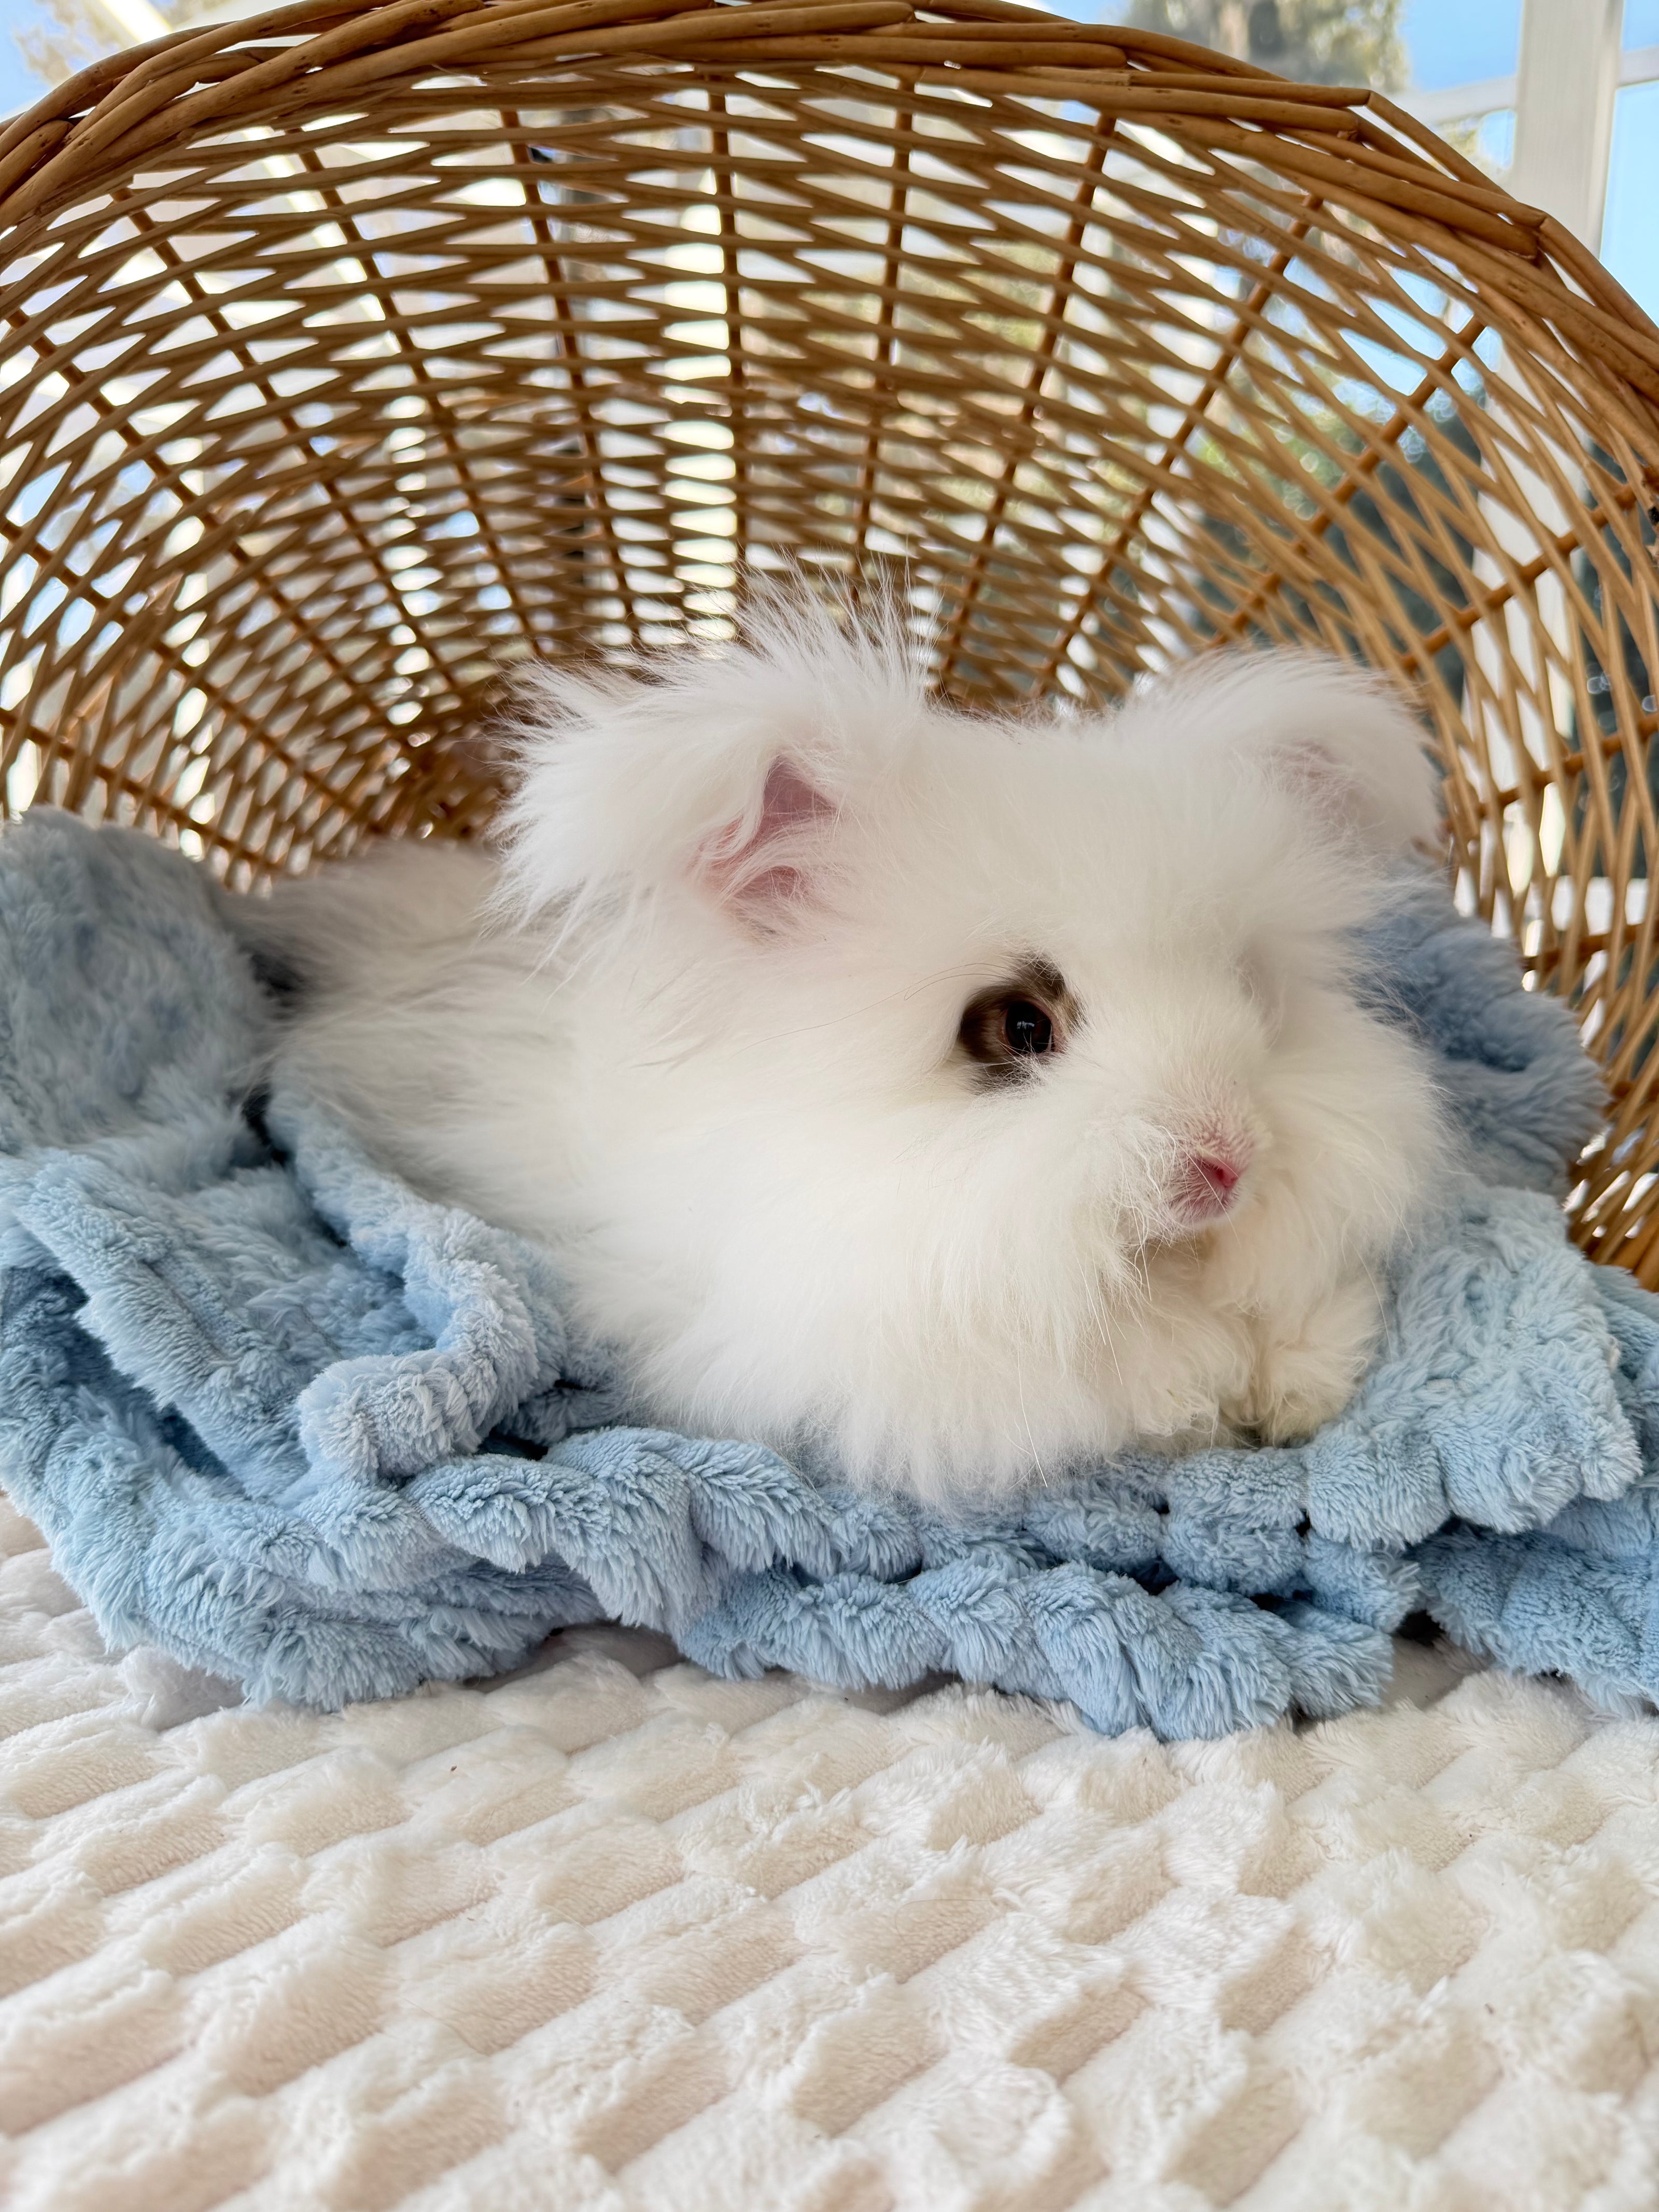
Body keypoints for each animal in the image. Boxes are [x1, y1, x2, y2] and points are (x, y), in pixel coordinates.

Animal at [254, 602, 1452, 1503]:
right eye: (1018, 1027)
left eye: (1246, 991)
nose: (1226, 1161)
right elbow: (1112, 1376)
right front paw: (1197, 1390)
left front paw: (1292, 1385)